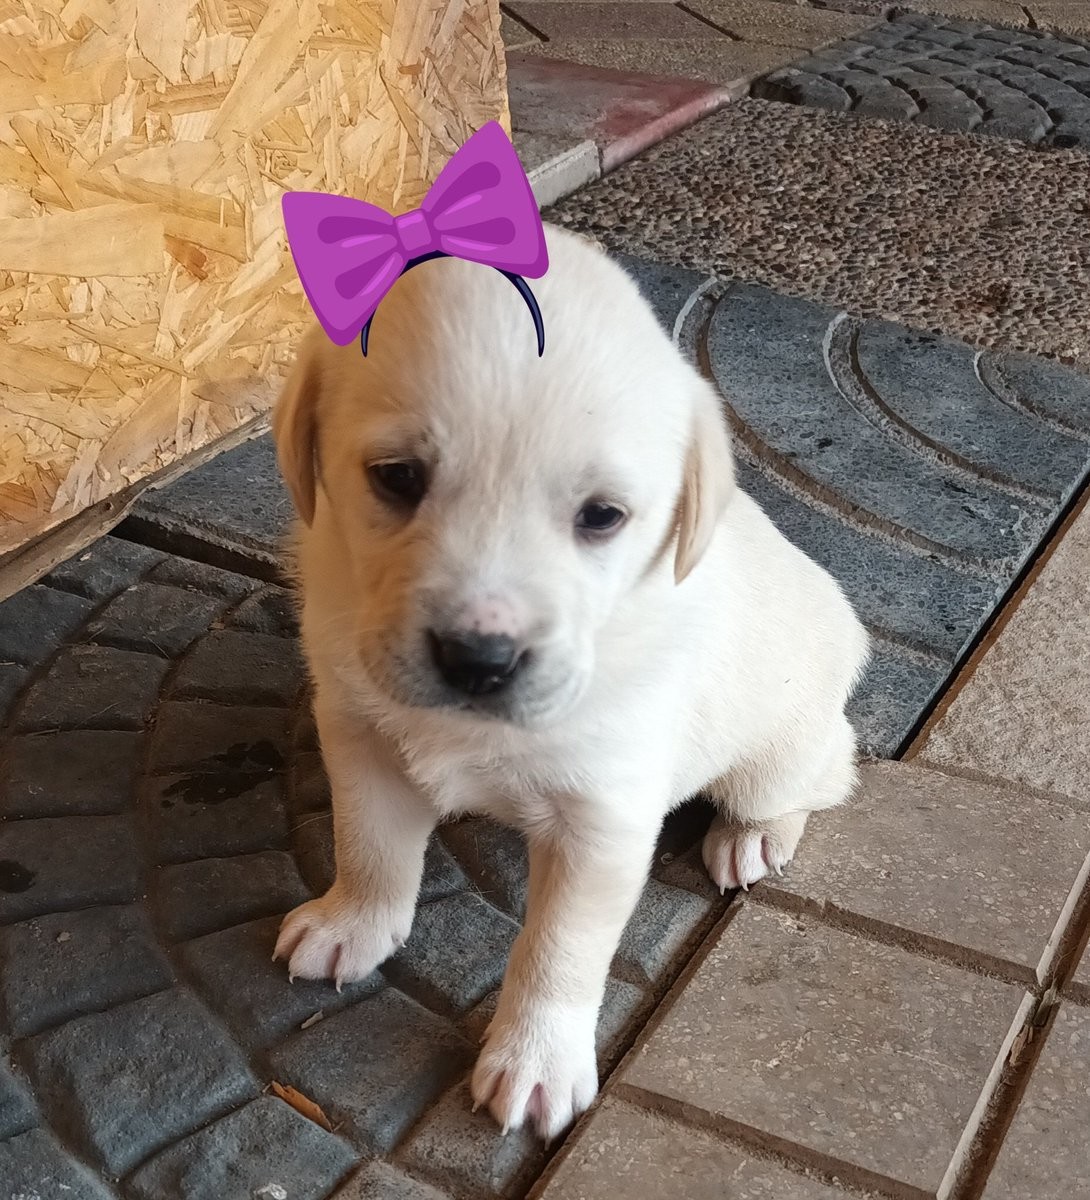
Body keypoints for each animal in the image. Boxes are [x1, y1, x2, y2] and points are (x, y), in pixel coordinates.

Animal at [271, 224, 869, 1140]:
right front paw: (353, 921)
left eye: (602, 516)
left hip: (787, 746)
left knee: (822, 775)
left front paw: (536, 1060)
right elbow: (369, 844)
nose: (479, 660)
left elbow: (559, 952)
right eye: (398, 476)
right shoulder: (360, 731)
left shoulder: (602, 822)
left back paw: (754, 835)